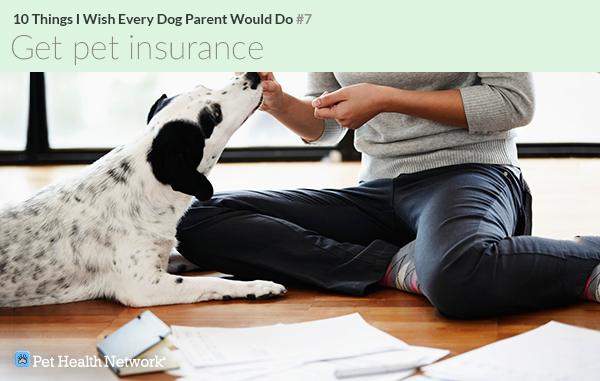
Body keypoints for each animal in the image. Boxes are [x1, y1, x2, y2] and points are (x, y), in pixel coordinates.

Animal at [0, 72, 288, 308]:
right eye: (215, 114)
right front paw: (258, 286)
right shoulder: (145, 285)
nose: (253, 75)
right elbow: (214, 282)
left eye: (202, 86)